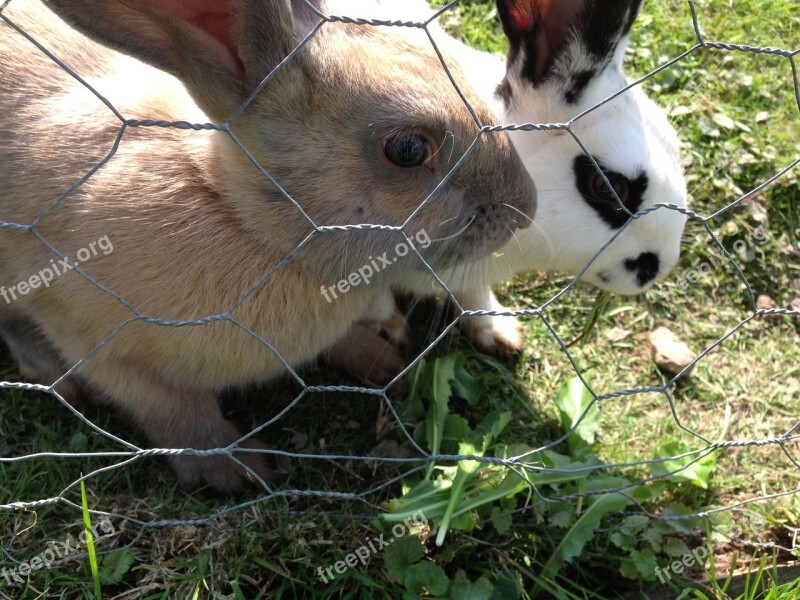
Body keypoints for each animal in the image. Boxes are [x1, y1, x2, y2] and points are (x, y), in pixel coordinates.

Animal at [1, 0, 536, 492]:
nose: (525, 208)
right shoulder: (93, 341)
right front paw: (238, 468)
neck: (241, 216)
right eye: (407, 149)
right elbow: (177, 413)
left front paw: (383, 363)